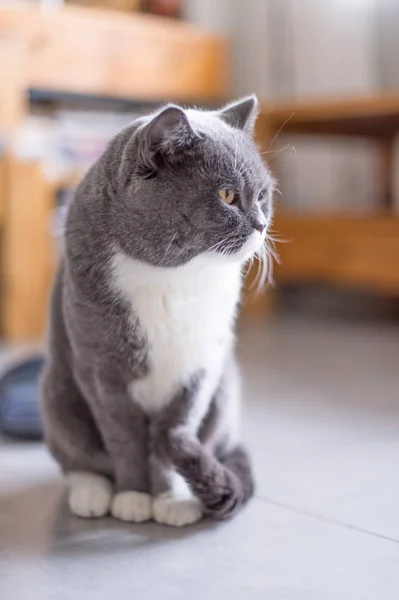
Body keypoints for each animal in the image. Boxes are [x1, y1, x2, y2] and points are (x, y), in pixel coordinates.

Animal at [41, 96, 276, 528]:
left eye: (263, 195)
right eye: (227, 195)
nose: (261, 225)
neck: (177, 279)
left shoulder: (201, 365)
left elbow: (174, 433)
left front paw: (170, 499)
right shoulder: (100, 373)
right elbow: (125, 439)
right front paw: (133, 497)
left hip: (226, 389)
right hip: (57, 394)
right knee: (78, 461)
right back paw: (92, 493)